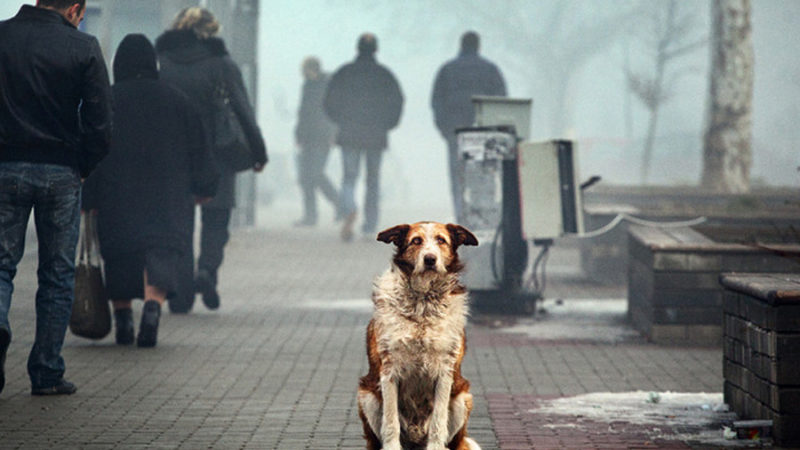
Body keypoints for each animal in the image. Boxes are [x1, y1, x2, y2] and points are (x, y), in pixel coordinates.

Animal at [358, 221, 482, 450]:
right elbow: (391, 422)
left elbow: (438, 422)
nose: (430, 259)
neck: (423, 303)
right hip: (367, 395)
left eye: (441, 240)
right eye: (416, 241)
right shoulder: (389, 371)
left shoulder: (444, 373)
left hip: (463, 397)